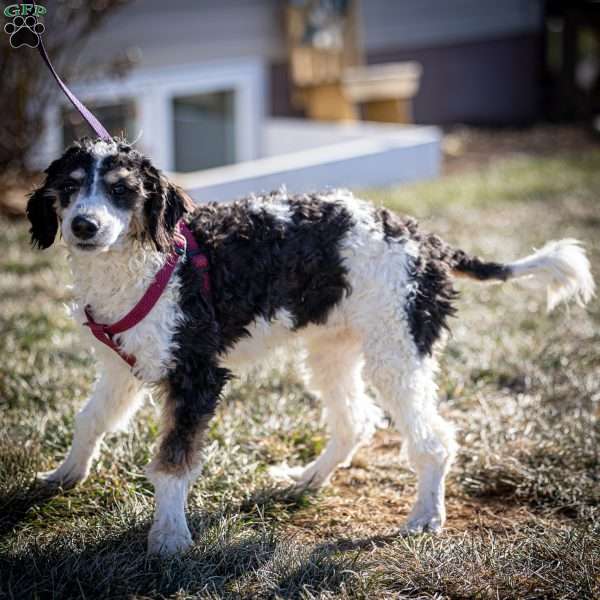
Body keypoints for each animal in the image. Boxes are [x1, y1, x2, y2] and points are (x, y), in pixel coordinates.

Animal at [25, 136, 592, 552]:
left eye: (122, 190)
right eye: (70, 187)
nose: (83, 225)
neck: (151, 263)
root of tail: (423, 239)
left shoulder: (196, 375)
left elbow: (172, 462)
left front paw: (168, 537)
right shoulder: (122, 366)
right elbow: (90, 420)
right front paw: (64, 475)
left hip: (396, 353)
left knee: (432, 440)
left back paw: (426, 515)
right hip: (332, 349)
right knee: (355, 421)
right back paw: (308, 480)